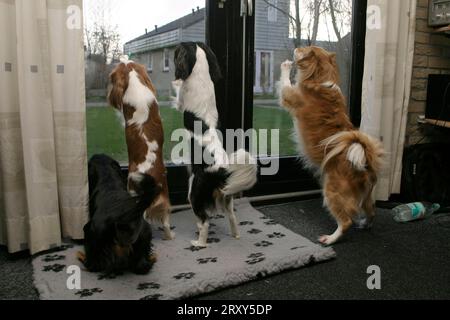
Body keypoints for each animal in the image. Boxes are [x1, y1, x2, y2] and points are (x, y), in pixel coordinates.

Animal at [171, 42, 256, 248]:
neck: (200, 72)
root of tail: (222, 170)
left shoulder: (181, 101)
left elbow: (178, 93)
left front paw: (175, 83)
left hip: (194, 193)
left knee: (205, 222)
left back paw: (198, 243)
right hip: (227, 198)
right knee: (232, 217)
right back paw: (236, 236)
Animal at [280, 45, 384, 245]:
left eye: (303, 49)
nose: (296, 47)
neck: (320, 79)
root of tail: (365, 161)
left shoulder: (289, 95)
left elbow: (285, 83)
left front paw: (286, 66)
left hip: (332, 193)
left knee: (345, 221)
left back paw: (330, 239)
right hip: (366, 197)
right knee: (372, 211)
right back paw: (365, 224)